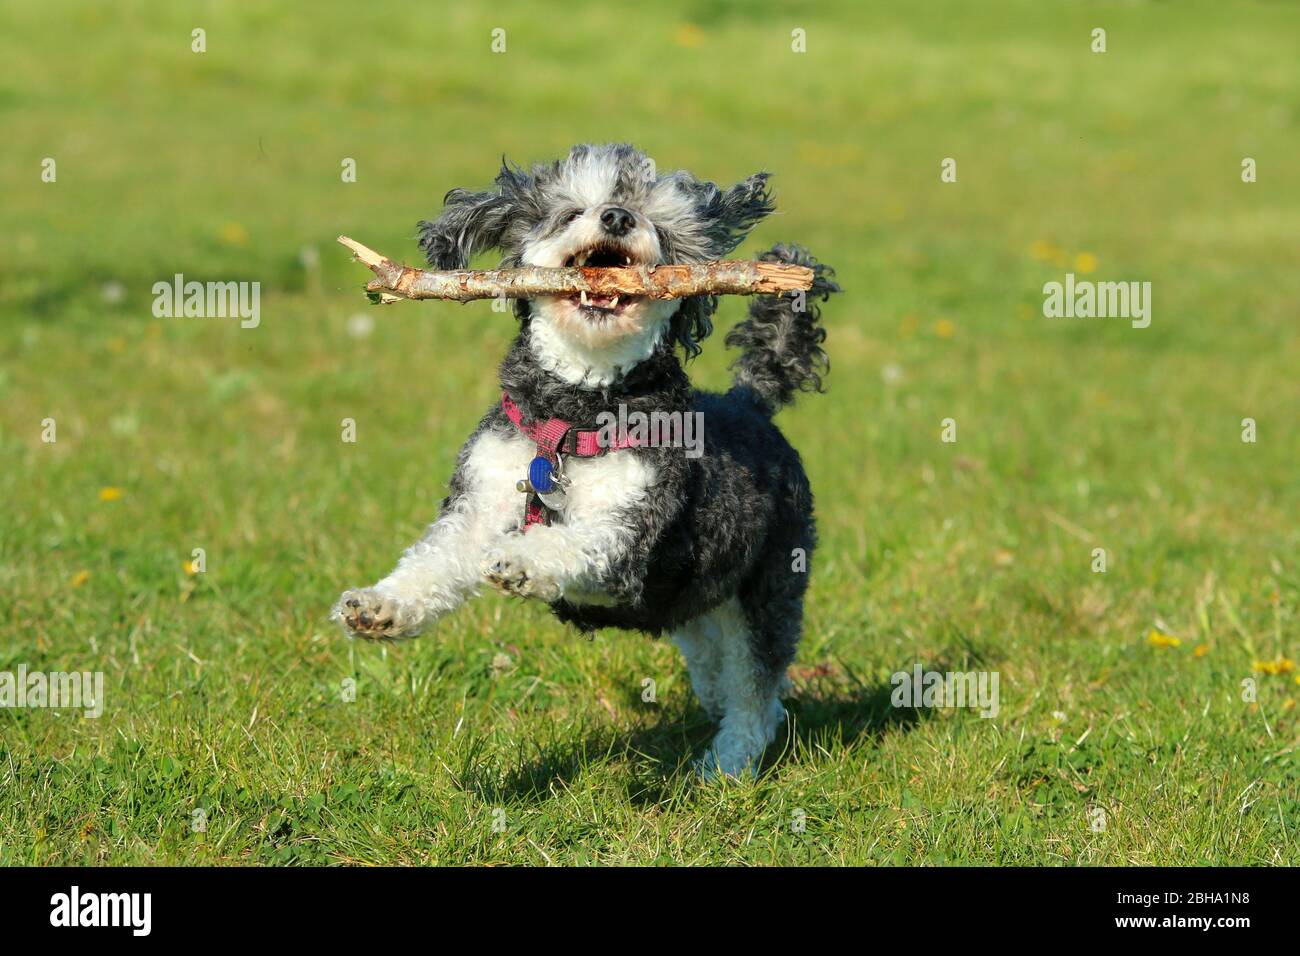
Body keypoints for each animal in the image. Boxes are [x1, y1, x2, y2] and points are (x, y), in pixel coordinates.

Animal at [335, 145, 837, 780]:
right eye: (573, 210)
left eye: (659, 225)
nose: (618, 217)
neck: (572, 416)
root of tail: (751, 401)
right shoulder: (480, 497)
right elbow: (435, 560)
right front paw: (381, 606)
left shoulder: (631, 535)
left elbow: (574, 542)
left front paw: (522, 559)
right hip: (700, 606)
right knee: (722, 671)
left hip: (769, 586)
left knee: (756, 688)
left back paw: (727, 764)